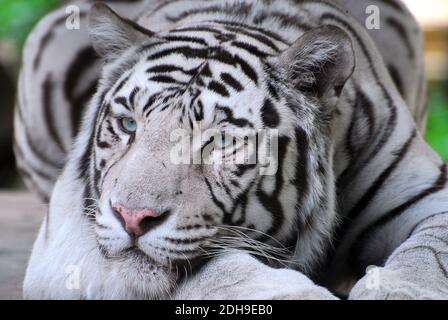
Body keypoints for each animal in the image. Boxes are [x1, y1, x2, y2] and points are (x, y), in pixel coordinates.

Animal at [17, 0, 448, 300]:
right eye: (129, 125)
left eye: (220, 142)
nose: (132, 217)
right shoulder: (69, 235)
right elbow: (219, 268)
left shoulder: (428, 194)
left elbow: (430, 253)